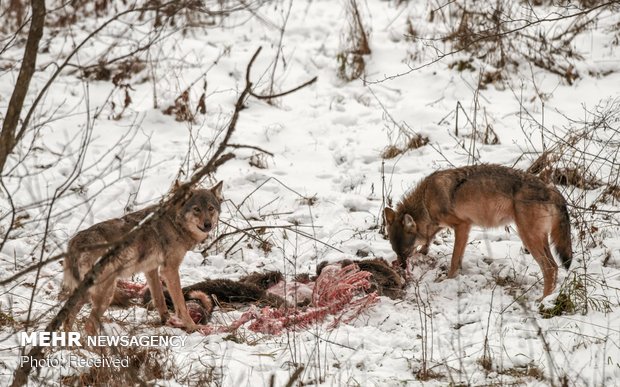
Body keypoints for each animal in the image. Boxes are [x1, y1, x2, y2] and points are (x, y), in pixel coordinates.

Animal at [60, 183, 224, 334]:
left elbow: (159, 299)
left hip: (84, 295)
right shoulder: (169, 270)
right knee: (88, 326)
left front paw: (166, 321)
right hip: (105, 294)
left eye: (211, 208)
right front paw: (192, 327)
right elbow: (181, 304)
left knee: (67, 320)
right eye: (196, 209)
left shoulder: (151, 269)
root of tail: (74, 243)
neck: (174, 223)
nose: (208, 224)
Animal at [386, 165, 572, 298]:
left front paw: (447, 278)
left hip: (528, 238)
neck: (426, 200)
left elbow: (454, 260)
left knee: (550, 268)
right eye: (395, 251)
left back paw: (543, 301)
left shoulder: (462, 225)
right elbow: (433, 243)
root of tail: (552, 190)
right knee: (555, 267)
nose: (401, 268)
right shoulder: (450, 227)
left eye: (405, 251)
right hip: (538, 239)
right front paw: (424, 252)